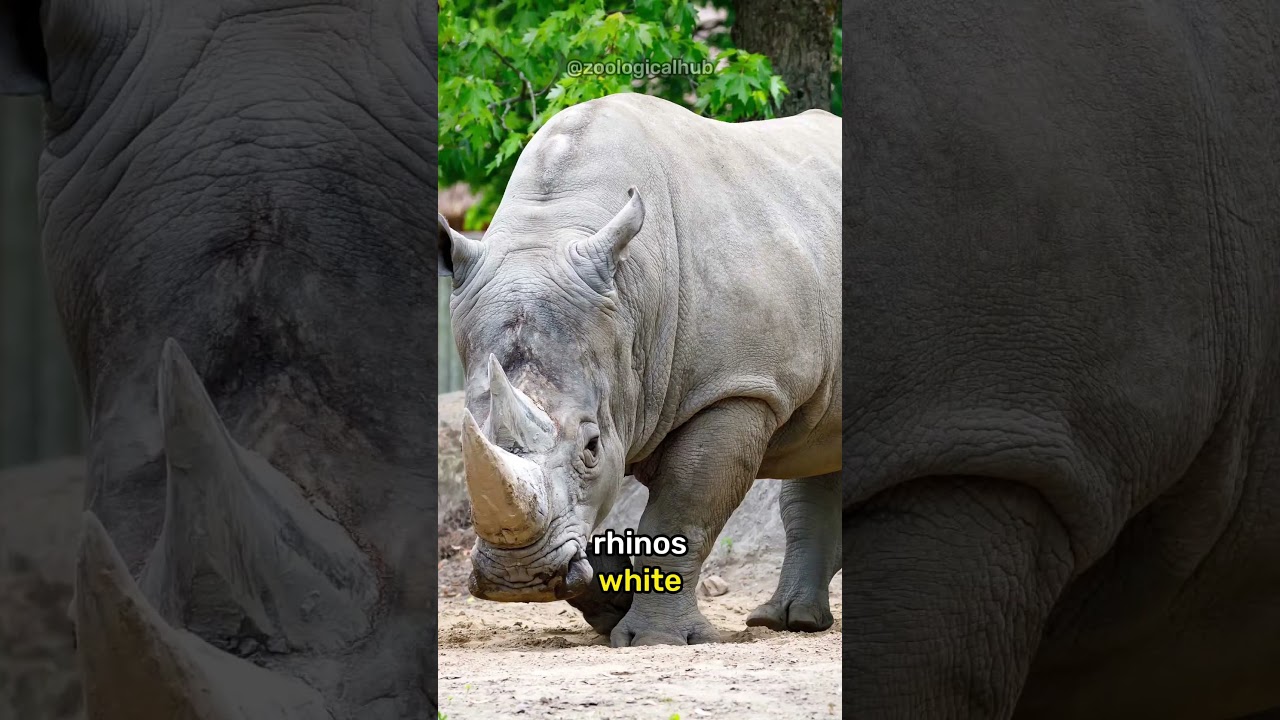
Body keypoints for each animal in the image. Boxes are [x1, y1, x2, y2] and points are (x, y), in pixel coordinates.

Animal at [437, 93, 842, 646]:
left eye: (590, 447)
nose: (517, 579)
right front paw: (608, 606)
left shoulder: (739, 386)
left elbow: (680, 515)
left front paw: (655, 639)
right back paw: (789, 622)